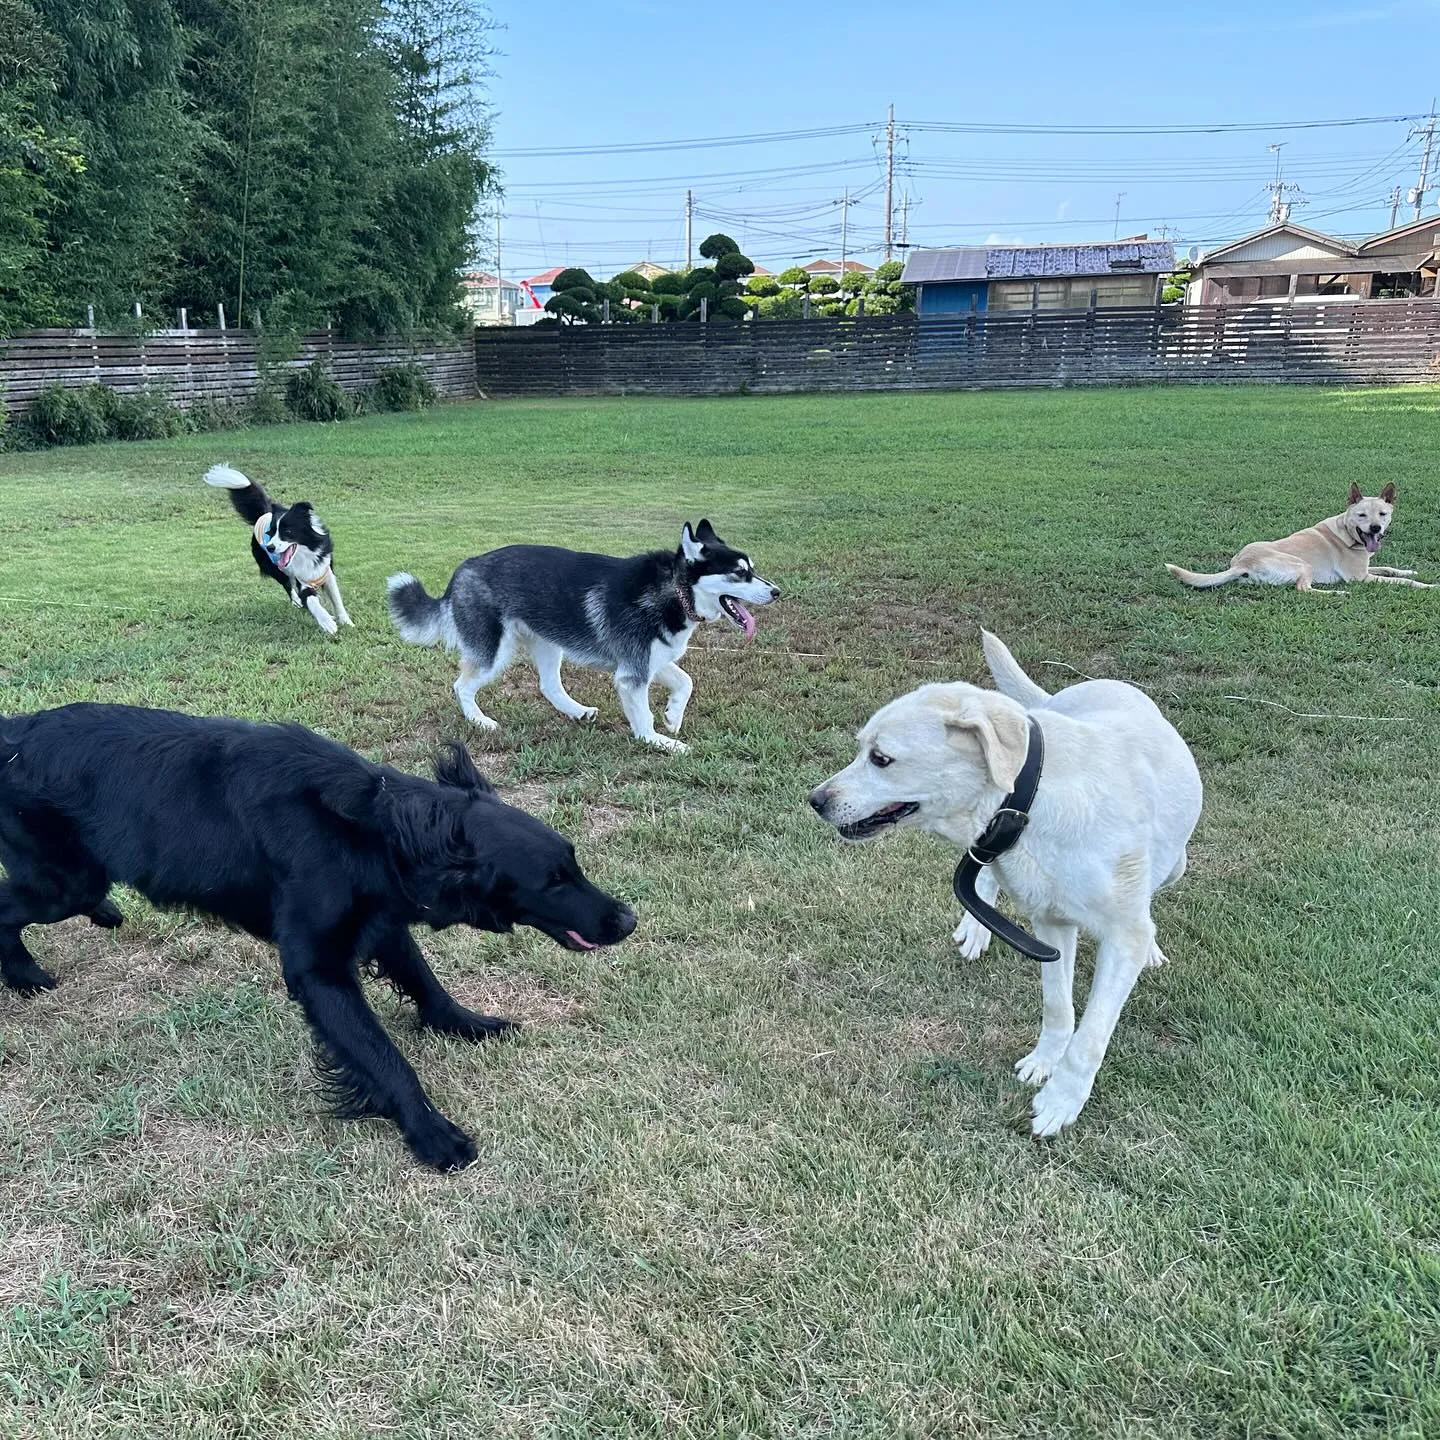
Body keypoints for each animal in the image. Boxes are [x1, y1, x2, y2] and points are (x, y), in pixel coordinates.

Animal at [0, 705, 636, 1169]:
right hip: (66, 883)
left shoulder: (380, 921)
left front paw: (464, 1023)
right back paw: (25, 975)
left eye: (574, 864)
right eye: (553, 881)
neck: (375, 829)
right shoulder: (319, 968)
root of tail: (13, 730)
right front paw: (431, 1133)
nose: (627, 920)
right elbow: (386, 1060)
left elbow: (425, 981)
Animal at [204, 466, 352, 636]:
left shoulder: (325, 572)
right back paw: (296, 602)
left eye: (287, 532)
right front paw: (327, 622)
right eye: (271, 532)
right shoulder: (303, 581)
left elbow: (336, 598)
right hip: (273, 568)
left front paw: (346, 621)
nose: (270, 547)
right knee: (287, 585)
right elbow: (312, 601)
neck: (306, 554)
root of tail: (264, 513)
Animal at [388, 521, 783, 754]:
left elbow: (686, 682)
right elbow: (644, 718)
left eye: (752, 569)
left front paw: (673, 717)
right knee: (462, 686)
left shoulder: (649, 661)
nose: (777, 592)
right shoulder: (632, 674)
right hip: (492, 652)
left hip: (549, 643)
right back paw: (480, 721)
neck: (674, 590)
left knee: (548, 685)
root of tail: (462, 569)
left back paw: (576, 712)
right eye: (739, 573)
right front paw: (659, 740)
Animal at [812, 630, 1203, 1134]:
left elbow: (1091, 1034)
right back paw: (976, 925)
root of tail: (1103, 684)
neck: (1029, 801)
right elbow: (1058, 1007)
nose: (815, 800)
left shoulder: (1119, 936)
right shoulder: (1049, 925)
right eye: (862, 750)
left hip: (1177, 863)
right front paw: (1045, 1060)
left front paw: (1062, 1099)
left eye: (881, 759)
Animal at [1169, 486, 1428, 593]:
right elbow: (1402, 582)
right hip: (1303, 564)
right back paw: (1337, 593)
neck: (1346, 532)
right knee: (1303, 590)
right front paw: (1426, 585)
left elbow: (1390, 568)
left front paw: (1411, 571)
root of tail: (1240, 564)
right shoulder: (1360, 578)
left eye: (1382, 514)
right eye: (1362, 515)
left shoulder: (1368, 568)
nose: (1375, 528)